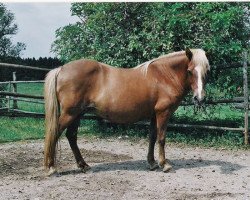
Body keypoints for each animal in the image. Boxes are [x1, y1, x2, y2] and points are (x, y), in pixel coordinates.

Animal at [44, 47, 210, 175]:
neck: (163, 76)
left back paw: (84, 166)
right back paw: (51, 167)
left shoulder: (153, 115)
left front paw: (152, 163)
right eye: (190, 71)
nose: (199, 99)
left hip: (78, 114)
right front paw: (165, 164)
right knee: (55, 133)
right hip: (70, 114)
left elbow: (152, 137)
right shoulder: (163, 113)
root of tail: (61, 69)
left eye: (206, 72)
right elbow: (161, 138)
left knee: (71, 136)